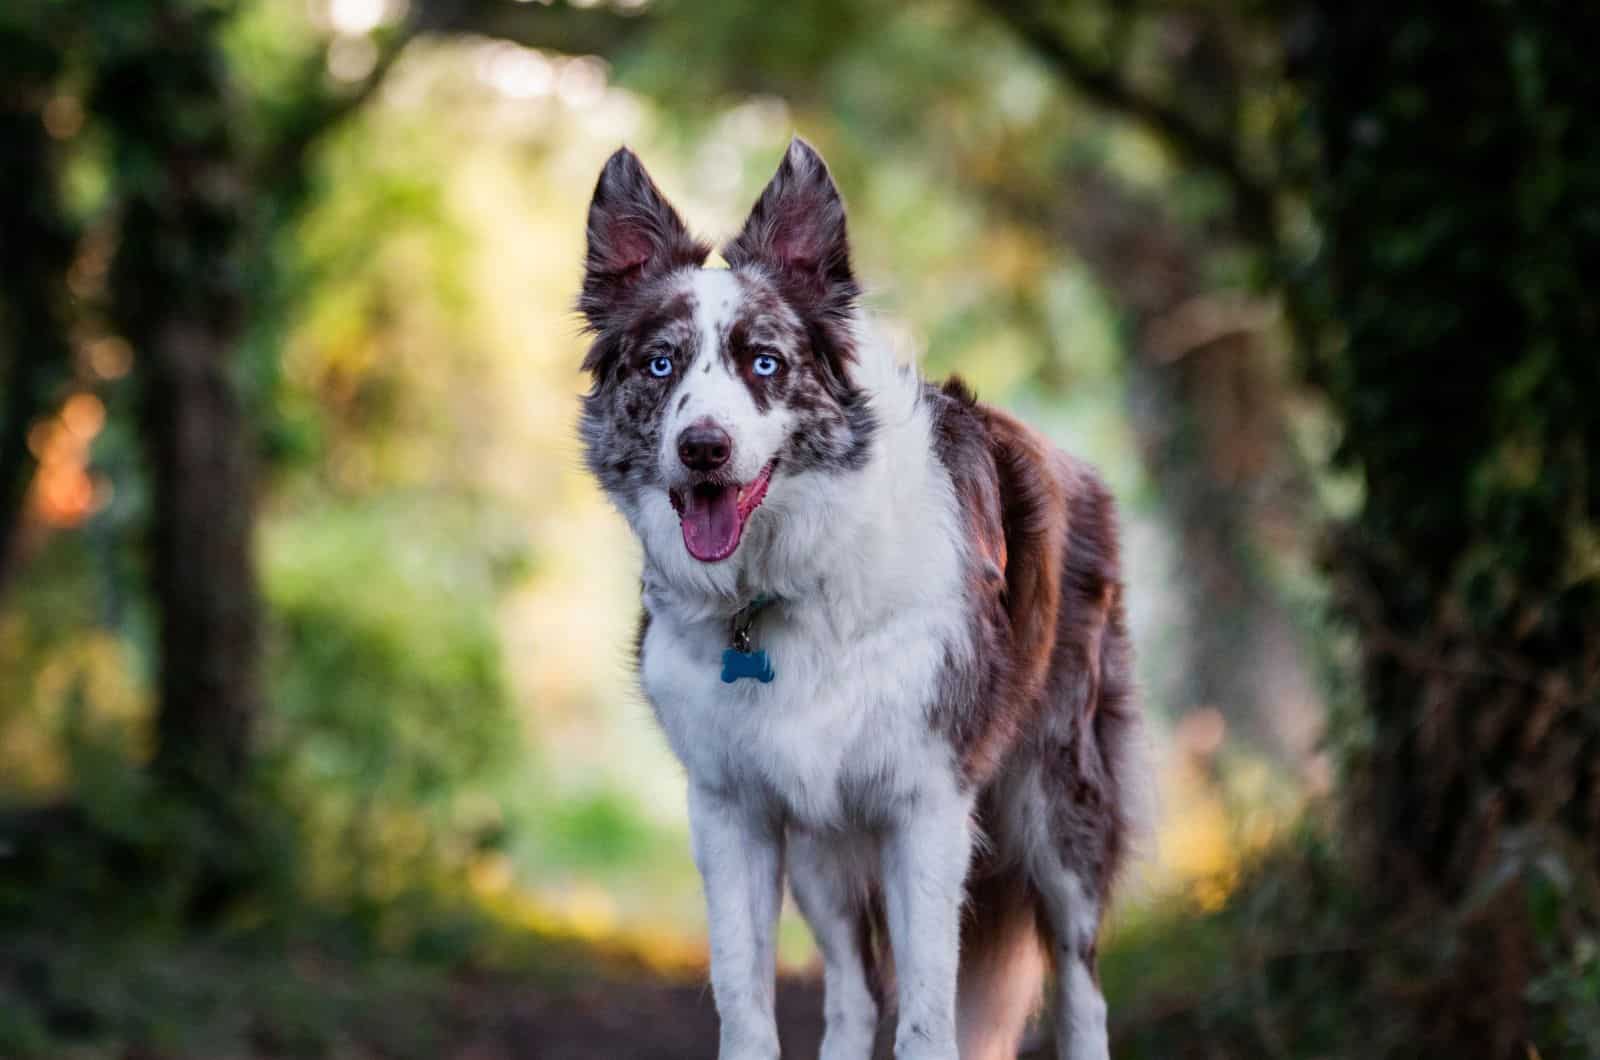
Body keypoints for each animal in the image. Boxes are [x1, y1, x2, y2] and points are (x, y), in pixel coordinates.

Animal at [582, 136, 1145, 1056]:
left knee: (1081, 981)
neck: (781, 586)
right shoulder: (733, 805)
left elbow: (926, 1012)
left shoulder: (927, 804)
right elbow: (746, 998)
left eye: (765, 363)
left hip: (1058, 808)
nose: (703, 448)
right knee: (852, 989)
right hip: (826, 843)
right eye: (661, 365)